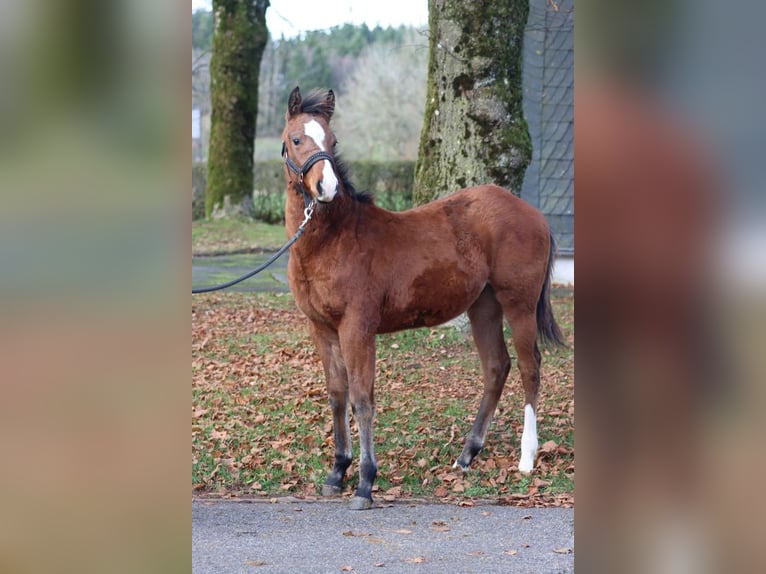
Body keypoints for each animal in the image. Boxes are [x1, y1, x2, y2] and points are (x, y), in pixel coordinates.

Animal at [280, 87, 565, 510]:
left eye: (332, 141)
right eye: (297, 139)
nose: (326, 188)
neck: (334, 240)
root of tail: (535, 214)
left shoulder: (357, 327)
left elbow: (362, 398)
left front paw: (365, 483)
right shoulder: (321, 328)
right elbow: (337, 395)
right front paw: (336, 473)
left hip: (519, 304)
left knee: (531, 368)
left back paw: (526, 457)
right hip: (484, 306)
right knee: (497, 367)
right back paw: (466, 455)